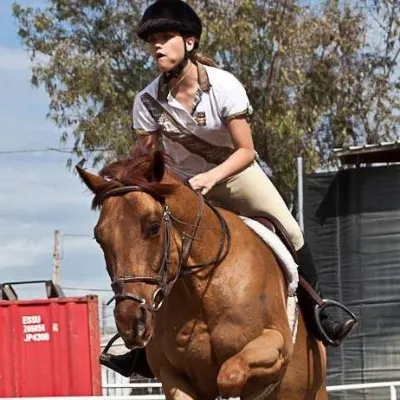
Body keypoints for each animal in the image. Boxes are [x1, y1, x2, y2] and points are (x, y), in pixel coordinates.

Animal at [76, 146, 326, 400]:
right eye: (99, 238)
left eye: (154, 227)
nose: (131, 323)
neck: (202, 290)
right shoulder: (171, 374)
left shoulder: (275, 343)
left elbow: (230, 374)